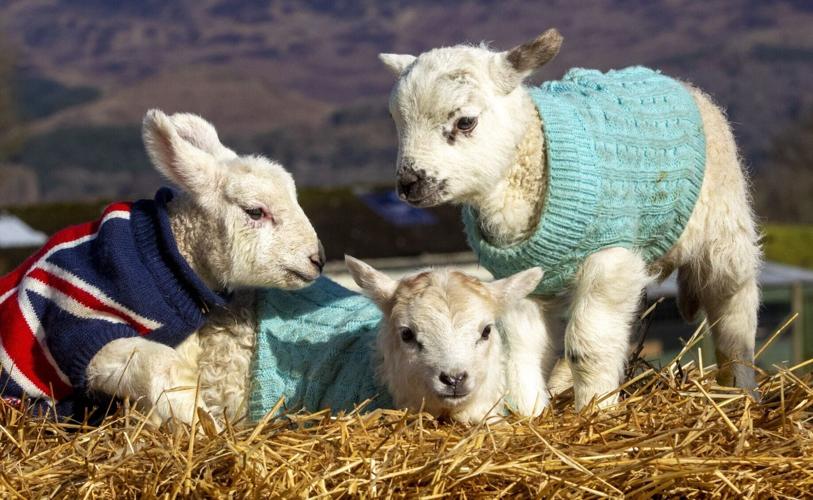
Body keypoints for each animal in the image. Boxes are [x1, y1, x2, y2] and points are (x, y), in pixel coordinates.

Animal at [0, 109, 324, 425]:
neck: (165, 260)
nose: (318, 259)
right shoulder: (77, 322)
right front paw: (203, 424)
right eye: (255, 211)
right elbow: (162, 364)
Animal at [378, 29, 761, 410]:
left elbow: (587, 346)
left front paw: (596, 408)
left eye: (465, 122)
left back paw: (741, 389)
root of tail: (675, 82)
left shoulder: (610, 258)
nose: (409, 183)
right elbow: (521, 351)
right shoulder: (522, 280)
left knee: (732, 307)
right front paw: (530, 411)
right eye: (397, 123)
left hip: (723, 224)